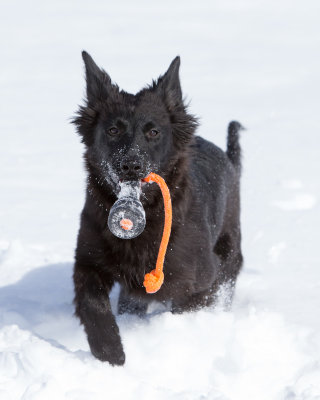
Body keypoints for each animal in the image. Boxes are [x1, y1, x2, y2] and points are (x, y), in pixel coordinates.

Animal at [72, 51, 242, 368]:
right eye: (112, 130)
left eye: (153, 132)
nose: (130, 165)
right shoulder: (88, 261)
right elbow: (92, 306)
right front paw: (111, 354)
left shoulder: (200, 281)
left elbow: (186, 309)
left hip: (229, 255)